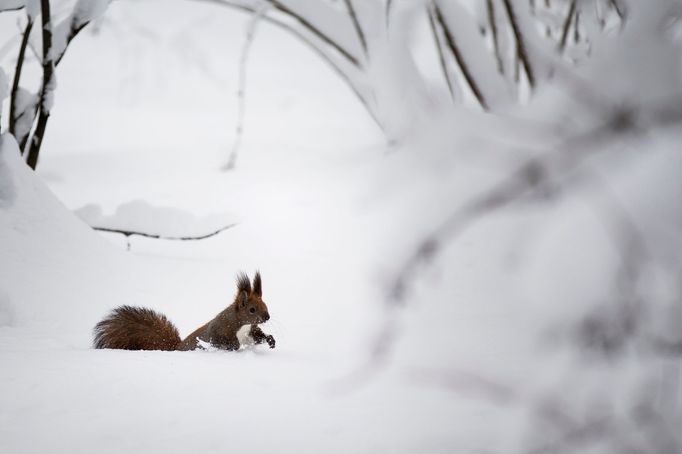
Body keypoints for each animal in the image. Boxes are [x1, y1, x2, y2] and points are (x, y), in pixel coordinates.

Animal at [93, 274, 274, 352]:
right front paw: (234, 346)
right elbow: (219, 339)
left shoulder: (250, 332)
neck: (242, 324)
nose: (267, 317)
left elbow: (258, 337)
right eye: (252, 310)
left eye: (265, 304)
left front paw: (271, 340)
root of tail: (177, 348)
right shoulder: (220, 329)